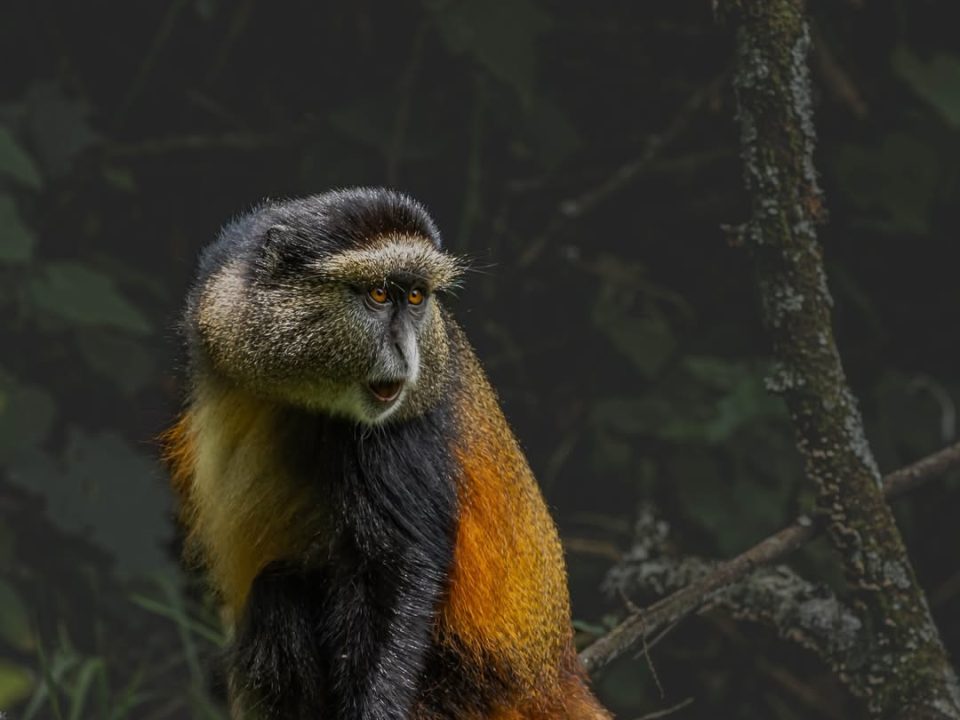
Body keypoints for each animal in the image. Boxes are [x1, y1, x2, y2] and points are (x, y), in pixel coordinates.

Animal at [164, 187, 610, 719]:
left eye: (415, 297)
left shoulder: (396, 432)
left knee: (280, 591)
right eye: (379, 295)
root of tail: (553, 681)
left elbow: (399, 559)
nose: (407, 352)